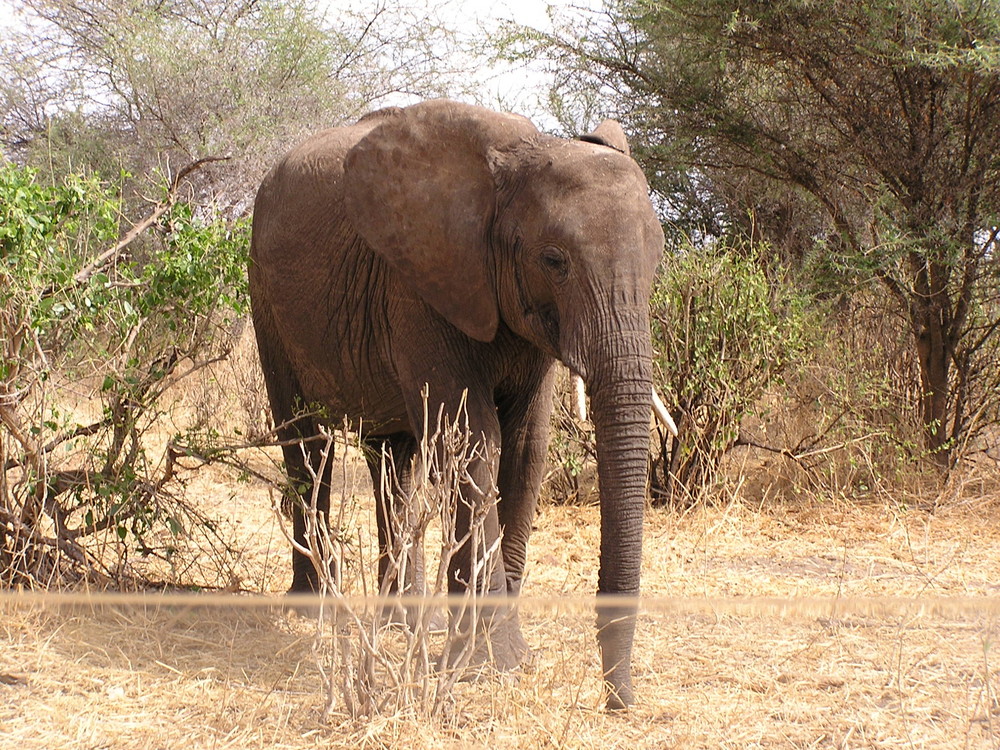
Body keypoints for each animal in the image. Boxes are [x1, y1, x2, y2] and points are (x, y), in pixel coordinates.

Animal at [250, 100, 668, 712]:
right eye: (554, 260)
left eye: (657, 261)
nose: (618, 701)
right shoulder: (419, 285)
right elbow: (475, 442)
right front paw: (492, 665)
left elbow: (525, 450)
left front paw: (498, 659)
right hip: (265, 295)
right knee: (306, 445)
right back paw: (313, 611)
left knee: (393, 462)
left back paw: (403, 622)